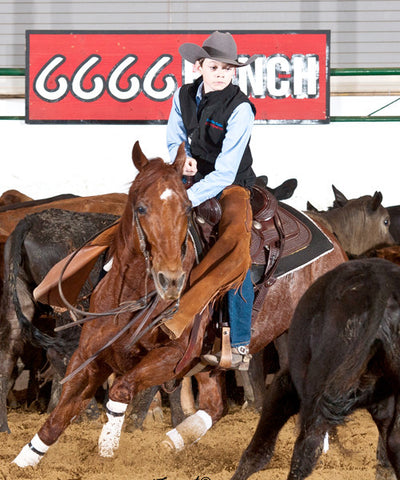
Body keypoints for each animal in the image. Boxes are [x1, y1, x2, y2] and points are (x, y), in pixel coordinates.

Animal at [12, 141, 346, 466]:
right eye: (141, 207)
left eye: (186, 208)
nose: (171, 279)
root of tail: (333, 241)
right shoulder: (90, 356)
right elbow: (60, 414)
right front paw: (23, 460)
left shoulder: (172, 356)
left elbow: (122, 390)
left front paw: (108, 447)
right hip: (213, 361)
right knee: (215, 406)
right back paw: (171, 441)